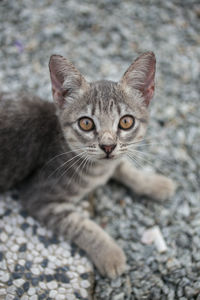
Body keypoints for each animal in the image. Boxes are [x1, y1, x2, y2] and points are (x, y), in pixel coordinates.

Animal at [0, 52, 175, 278]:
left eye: (126, 122)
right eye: (86, 123)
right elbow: (81, 225)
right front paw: (110, 253)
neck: (97, 170)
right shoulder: (39, 197)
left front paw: (154, 182)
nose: (108, 146)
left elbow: (123, 166)